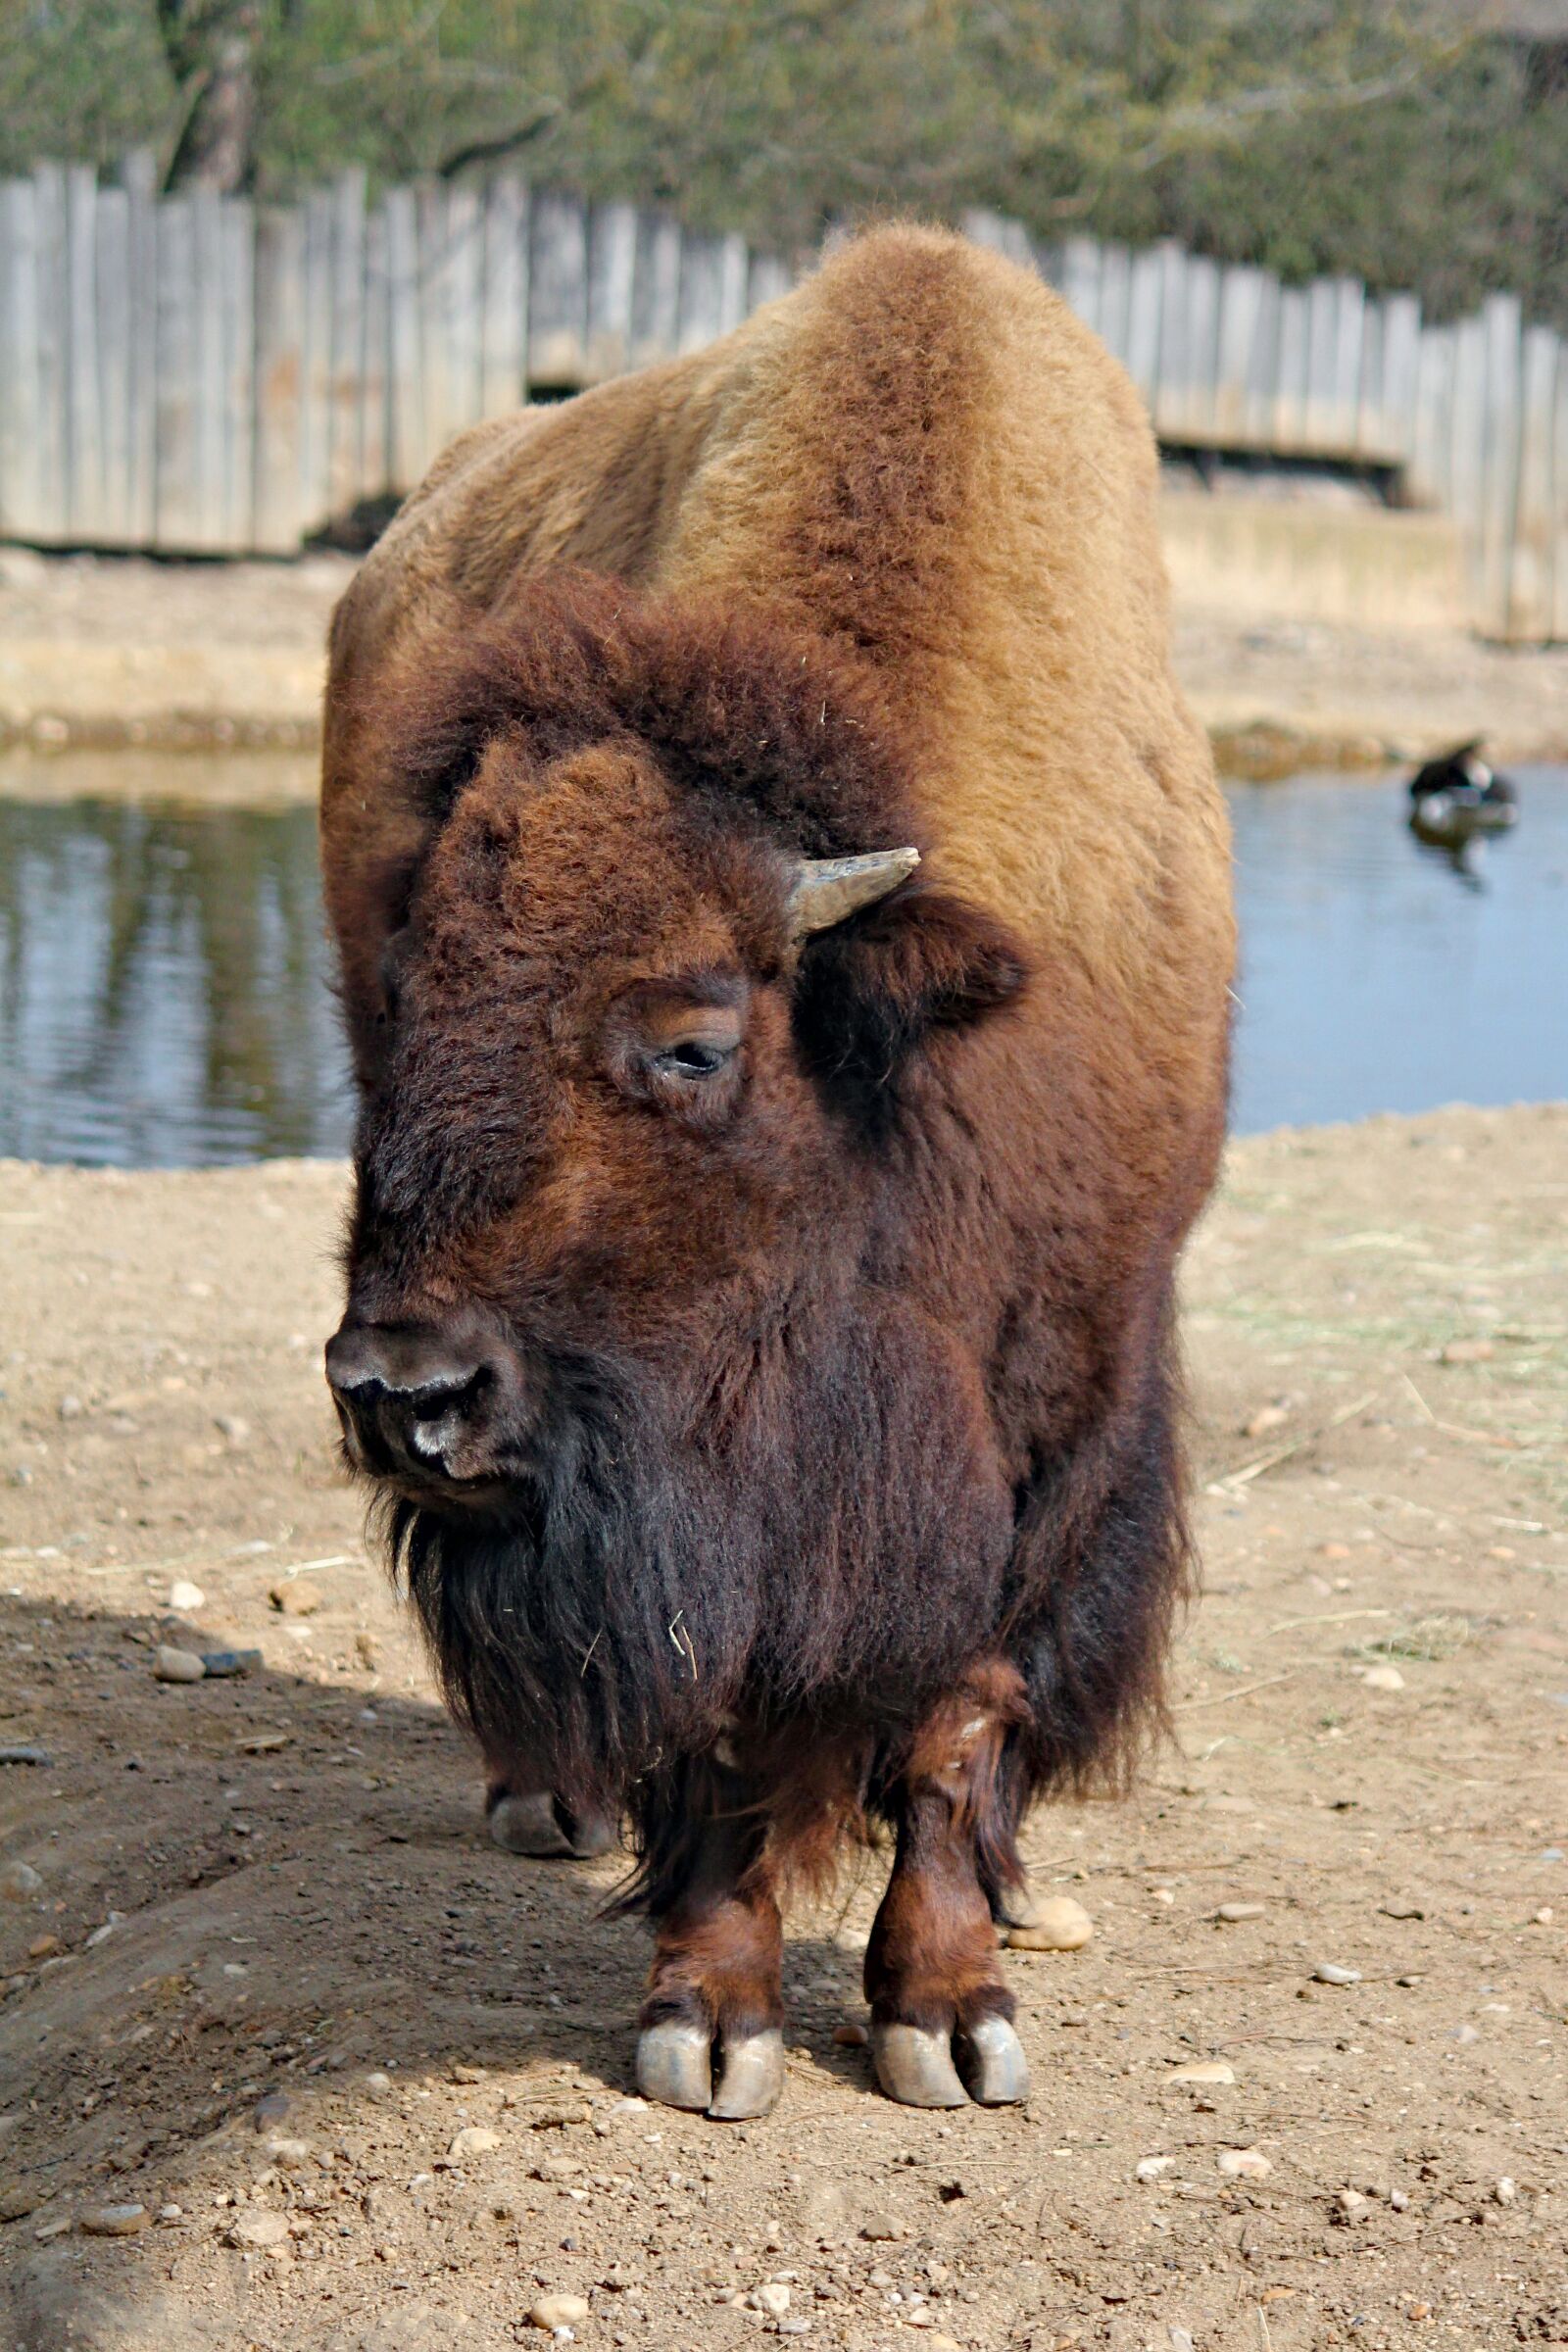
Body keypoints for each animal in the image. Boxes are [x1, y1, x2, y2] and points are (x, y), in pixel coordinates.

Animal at [321, 224, 1234, 2118]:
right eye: (407, 997)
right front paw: (711, 2022)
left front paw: (950, 2018)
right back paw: (548, 1800)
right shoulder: (720, 1503)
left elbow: (962, 1709)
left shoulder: (1061, 1410)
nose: (403, 1395)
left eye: (694, 1039)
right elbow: (726, 1726)